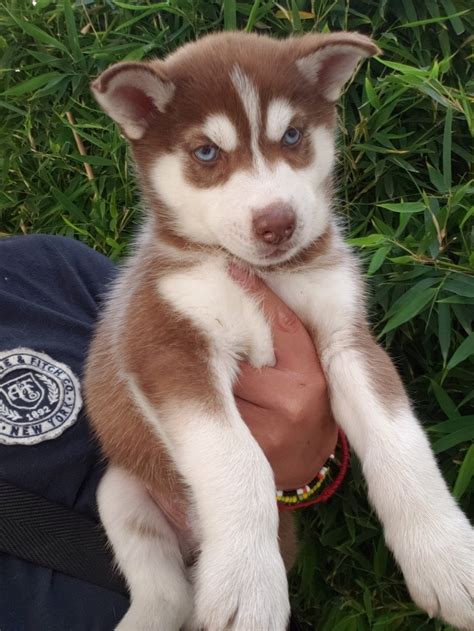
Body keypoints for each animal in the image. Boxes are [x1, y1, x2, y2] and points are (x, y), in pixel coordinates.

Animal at [86, 30, 474, 631]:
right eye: (207, 152)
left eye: (292, 135)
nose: (277, 222)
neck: (264, 276)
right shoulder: (165, 342)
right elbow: (236, 456)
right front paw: (247, 583)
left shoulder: (348, 339)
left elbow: (399, 438)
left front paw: (446, 555)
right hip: (121, 489)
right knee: (165, 593)